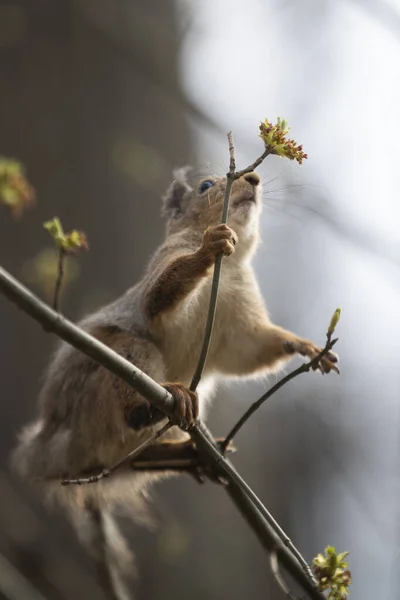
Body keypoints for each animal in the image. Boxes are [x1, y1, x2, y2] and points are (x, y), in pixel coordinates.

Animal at [11, 166, 338, 596]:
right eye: (205, 186)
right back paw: (161, 405)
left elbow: (252, 352)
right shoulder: (167, 263)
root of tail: (56, 439)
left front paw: (308, 346)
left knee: (133, 458)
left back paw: (191, 453)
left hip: (120, 453)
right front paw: (209, 248)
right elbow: (158, 295)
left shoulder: (242, 328)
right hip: (118, 364)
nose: (252, 179)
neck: (230, 271)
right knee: (132, 405)